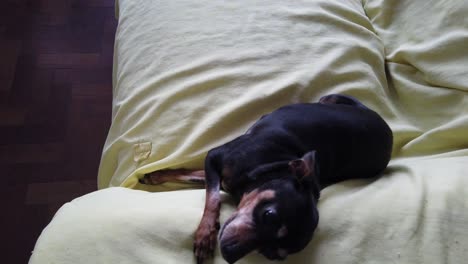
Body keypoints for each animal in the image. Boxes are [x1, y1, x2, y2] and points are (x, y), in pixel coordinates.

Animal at [141, 94, 394, 264]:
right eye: (269, 215)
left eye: (270, 254)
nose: (229, 254)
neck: (271, 168)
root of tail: (389, 132)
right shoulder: (214, 158)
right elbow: (211, 197)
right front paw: (205, 235)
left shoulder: (220, 172)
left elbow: (202, 185)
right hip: (331, 99)